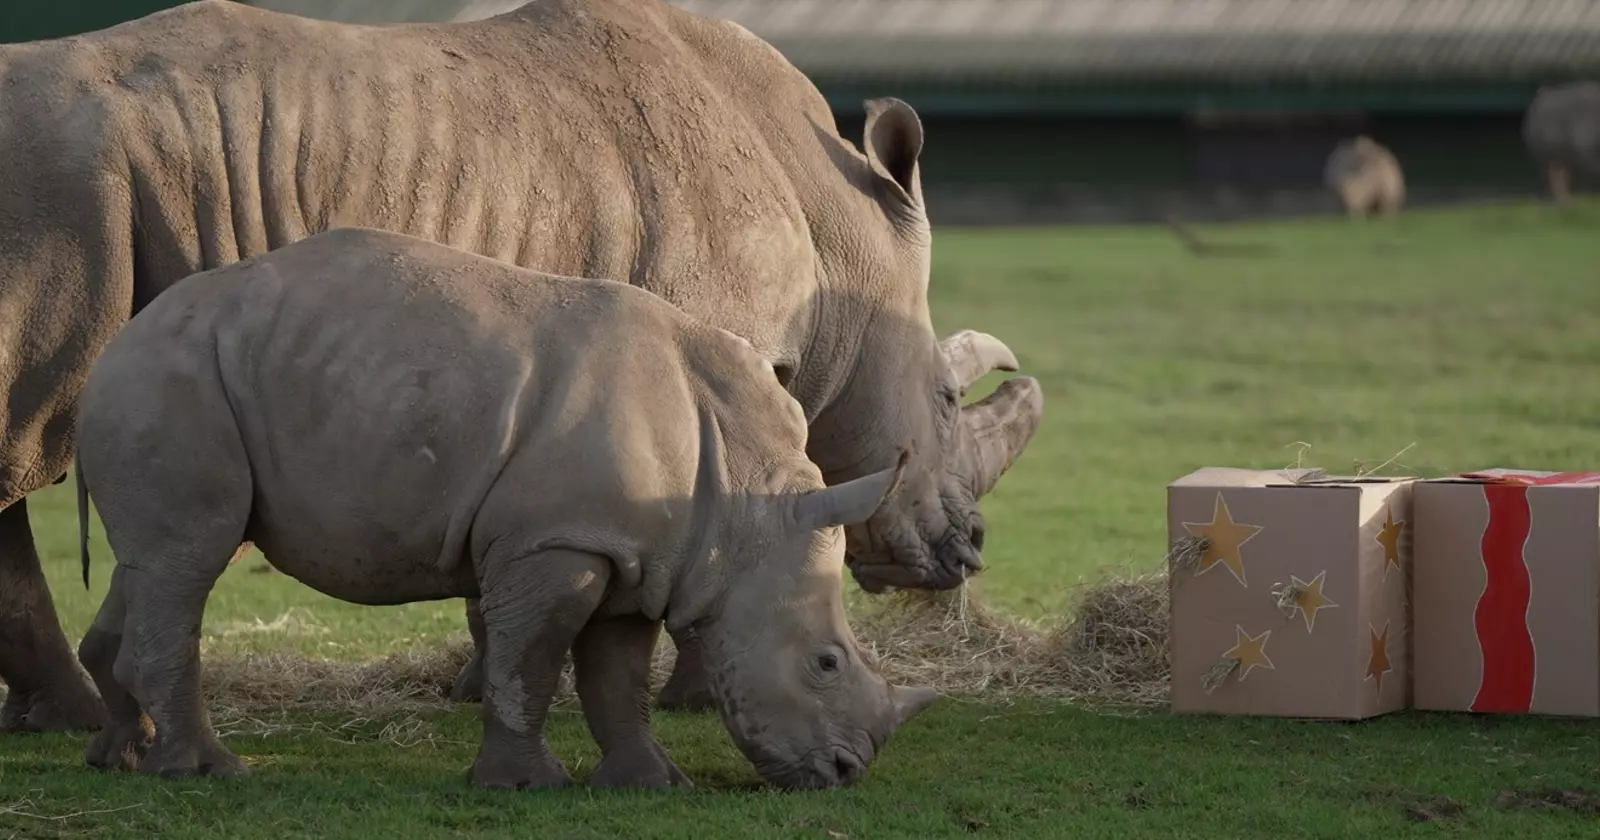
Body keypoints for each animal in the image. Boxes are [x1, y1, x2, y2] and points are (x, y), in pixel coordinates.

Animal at [0, 0, 1043, 731]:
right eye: (944, 399)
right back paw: (75, 716)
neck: (840, 244)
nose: (967, 551)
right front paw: (697, 698)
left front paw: (481, 685)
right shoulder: (719, 351)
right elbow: (743, 504)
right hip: (64, 197)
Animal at [73, 227, 937, 789]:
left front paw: (652, 783)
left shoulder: (636, 552)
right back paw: (209, 771)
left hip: (185, 375)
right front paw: (526, 784)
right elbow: (533, 656)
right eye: (825, 663)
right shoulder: (555, 543)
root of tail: (111, 348)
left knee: (155, 561)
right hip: (173, 377)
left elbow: (618, 674)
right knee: (194, 555)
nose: (846, 771)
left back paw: (121, 757)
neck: (748, 506)